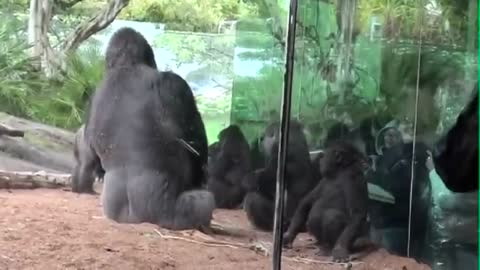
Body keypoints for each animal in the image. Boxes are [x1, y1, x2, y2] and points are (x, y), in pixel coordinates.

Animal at [71, 26, 214, 230]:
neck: (126, 66)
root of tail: (134, 220)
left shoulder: (93, 96)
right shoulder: (174, 84)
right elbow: (196, 145)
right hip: (165, 216)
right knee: (205, 200)